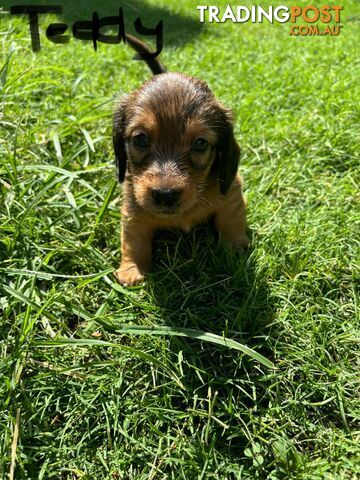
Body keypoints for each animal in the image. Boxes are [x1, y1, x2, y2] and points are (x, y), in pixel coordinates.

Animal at [114, 37, 249, 286]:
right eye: (140, 139)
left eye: (200, 144)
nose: (165, 195)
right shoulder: (132, 209)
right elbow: (133, 241)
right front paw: (131, 269)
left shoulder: (231, 192)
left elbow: (230, 220)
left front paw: (235, 249)